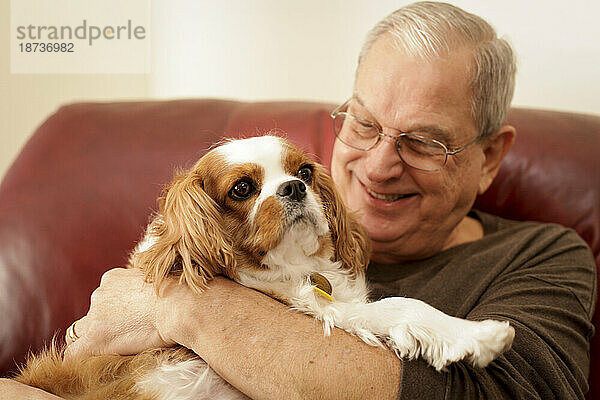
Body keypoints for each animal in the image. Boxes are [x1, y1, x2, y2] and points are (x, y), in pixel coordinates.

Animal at [15, 136, 516, 398]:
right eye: (242, 188)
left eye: (306, 172)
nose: (294, 187)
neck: (295, 267)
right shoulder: (318, 308)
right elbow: (399, 306)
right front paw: (477, 336)